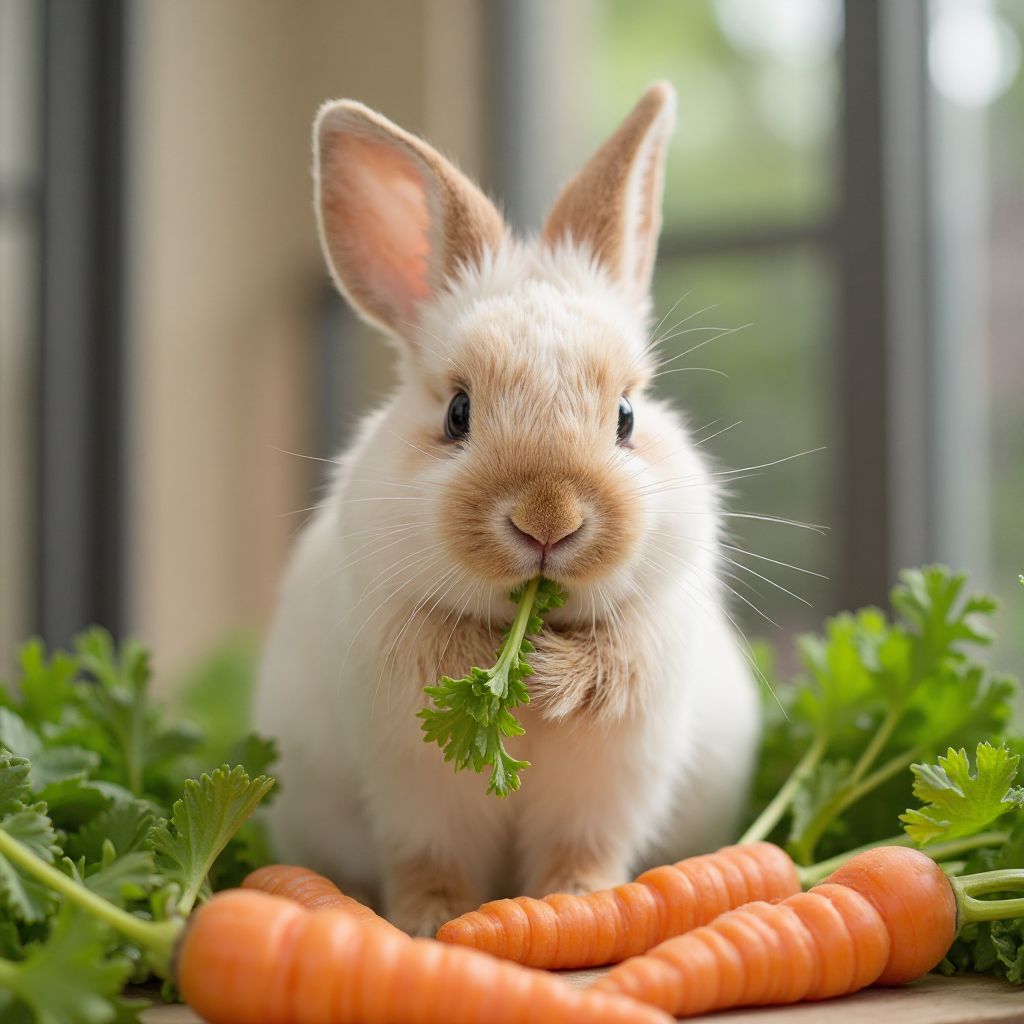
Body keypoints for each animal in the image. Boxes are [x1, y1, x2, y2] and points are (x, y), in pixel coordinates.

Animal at [252, 81, 761, 937]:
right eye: (458, 413)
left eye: (626, 417)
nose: (548, 519)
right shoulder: (410, 769)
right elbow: (427, 843)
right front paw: (432, 921)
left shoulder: (621, 744)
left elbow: (589, 797)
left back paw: (577, 904)